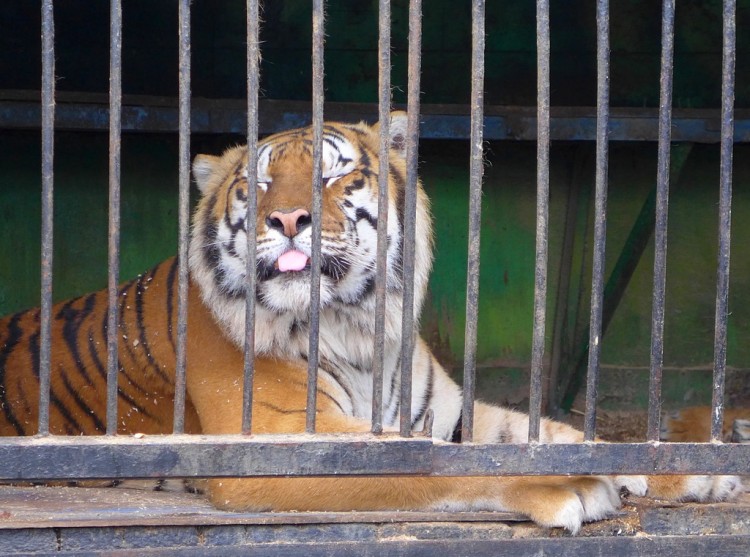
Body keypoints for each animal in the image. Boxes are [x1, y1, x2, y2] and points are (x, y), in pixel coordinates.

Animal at [0, 111, 744, 532]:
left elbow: (556, 434)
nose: (287, 218)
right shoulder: (281, 440)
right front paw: (574, 486)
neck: (354, 326)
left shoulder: (448, 408)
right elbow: (436, 465)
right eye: (261, 184)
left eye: (333, 176)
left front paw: (695, 470)